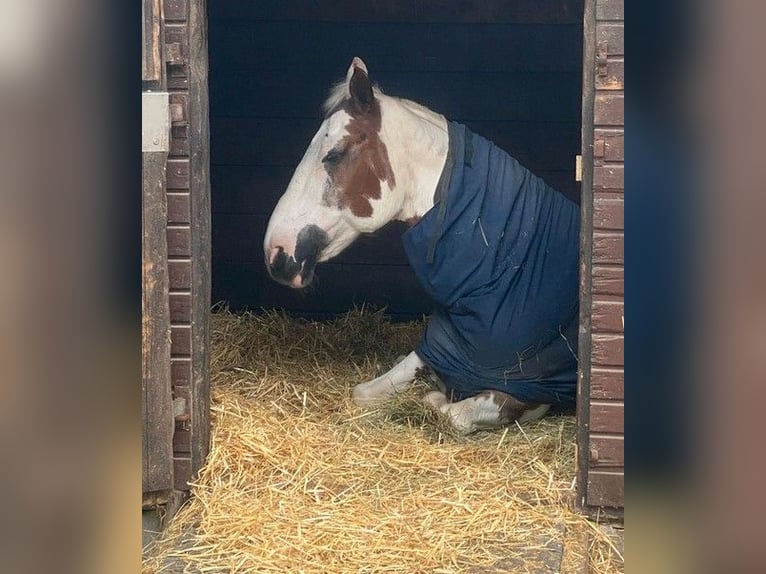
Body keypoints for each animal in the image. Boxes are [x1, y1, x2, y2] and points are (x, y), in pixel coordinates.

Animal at [266, 59, 584, 436]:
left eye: (334, 154)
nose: (277, 253)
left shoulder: (529, 392)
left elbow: (453, 413)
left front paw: (435, 396)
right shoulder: (437, 349)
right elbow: (364, 391)